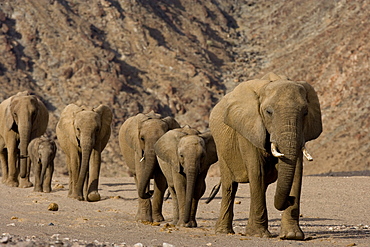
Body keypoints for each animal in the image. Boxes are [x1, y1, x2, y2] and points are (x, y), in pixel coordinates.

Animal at [210, 72, 322, 240]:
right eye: (269, 112)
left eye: (305, 113)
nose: (290, 199)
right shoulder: (248, 128)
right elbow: (257, 171)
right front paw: (259, 234)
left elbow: (296, 172)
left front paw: (292, 236)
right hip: (221, 147)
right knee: (230, 186)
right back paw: (223, 232)